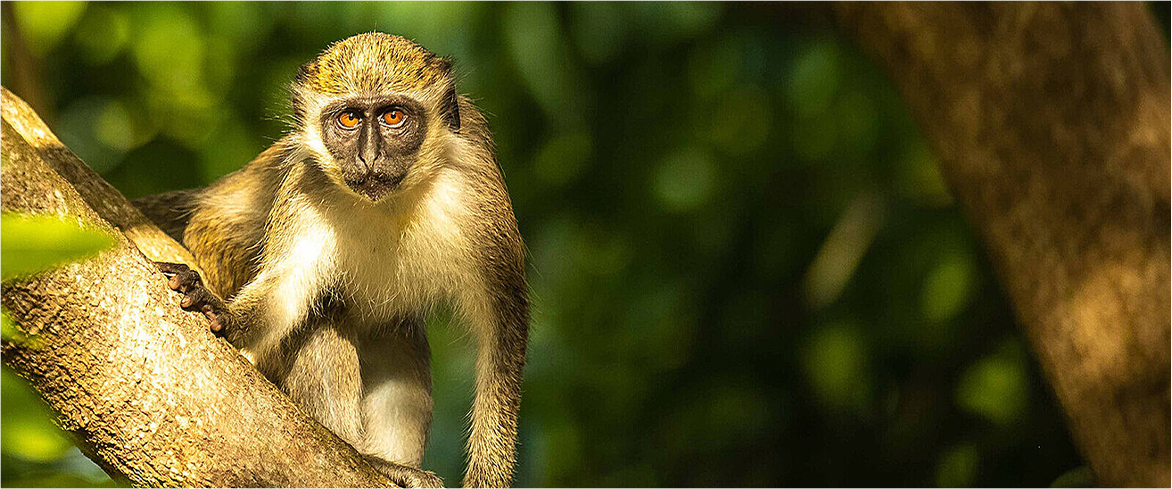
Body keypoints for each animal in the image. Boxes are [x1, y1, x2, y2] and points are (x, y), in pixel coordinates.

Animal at [131, 33, 529, 489]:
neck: (387, 205)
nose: (369, 157)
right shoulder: (306, 185)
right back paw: (360, 453)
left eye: (393, 116)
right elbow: (288, 288)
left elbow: (503, 330)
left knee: (398, 334)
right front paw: (221, 312)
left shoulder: (478, 183)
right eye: (350, 119)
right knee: (322, 314)